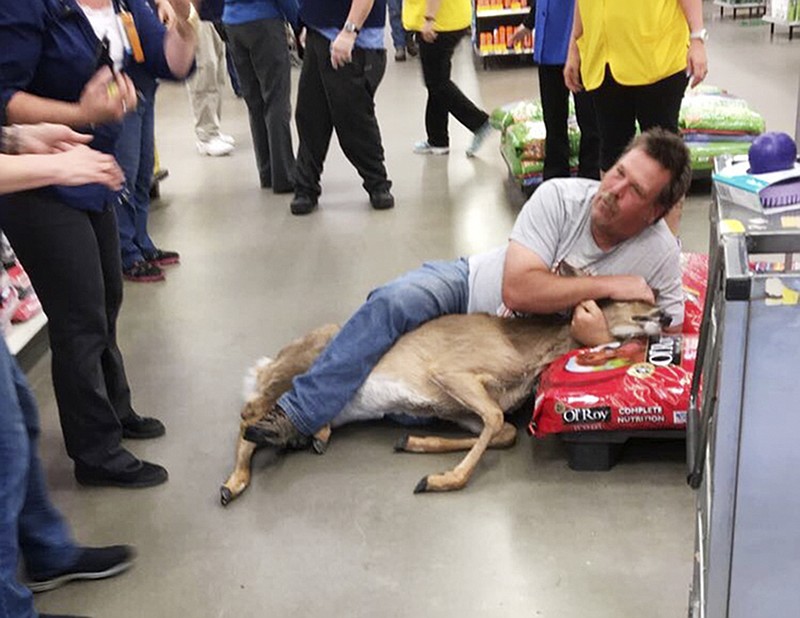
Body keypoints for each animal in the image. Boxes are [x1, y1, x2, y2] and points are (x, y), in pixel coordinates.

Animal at [220, 294, 668, 506]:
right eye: (633, 299)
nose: (665, 314)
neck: (522, 353)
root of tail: (264, 365)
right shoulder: (452, 373)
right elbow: (495, 421)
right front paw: (441, 479)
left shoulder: (458, 407)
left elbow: (503, 431)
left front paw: (413, 443)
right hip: (299, 367)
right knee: (248, 416)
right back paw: (232, 484)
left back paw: (315, 436)